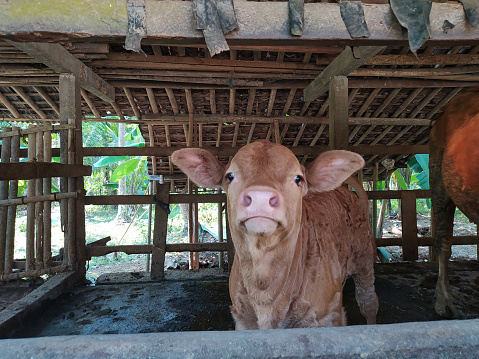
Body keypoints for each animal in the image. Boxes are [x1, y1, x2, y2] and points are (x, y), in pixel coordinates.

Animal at [172, 140, 378, 330]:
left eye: (298, 178)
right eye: (230, 176)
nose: (260, 197)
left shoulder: (329, 317)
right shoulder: (243, 320)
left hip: (364, 258)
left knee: (368, 301)